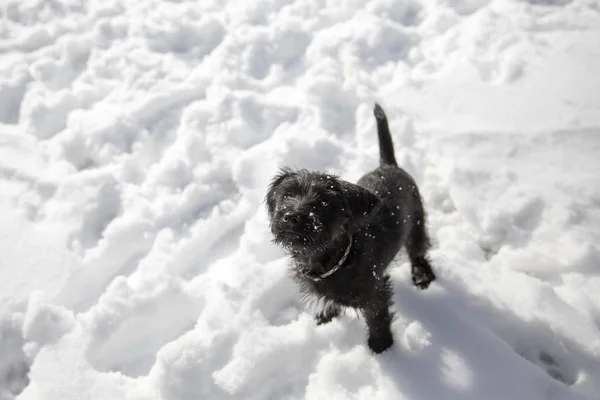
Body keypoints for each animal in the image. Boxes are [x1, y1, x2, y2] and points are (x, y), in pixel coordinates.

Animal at [264, 103, 434, 354]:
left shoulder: (374, 292)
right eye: (287, 194)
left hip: (416, 218)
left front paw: (381, 346)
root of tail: (388, 164)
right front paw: (326, 316)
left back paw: (422, 275)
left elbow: (377, 317)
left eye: (324, 202)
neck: (332, 260)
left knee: (417, 247)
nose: (292, 216)